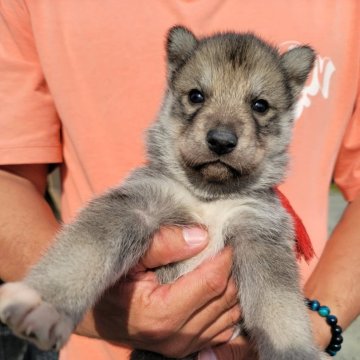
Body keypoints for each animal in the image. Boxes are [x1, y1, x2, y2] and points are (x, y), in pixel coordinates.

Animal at [0, 27, 324, 360]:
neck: (209, 197)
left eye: (260, 105)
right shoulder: (136, 205)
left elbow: (280, 310)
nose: (221, 141)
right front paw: (43, 303)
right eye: (196, 95)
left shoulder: (261, 237)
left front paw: (295, 352)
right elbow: (83, 253)